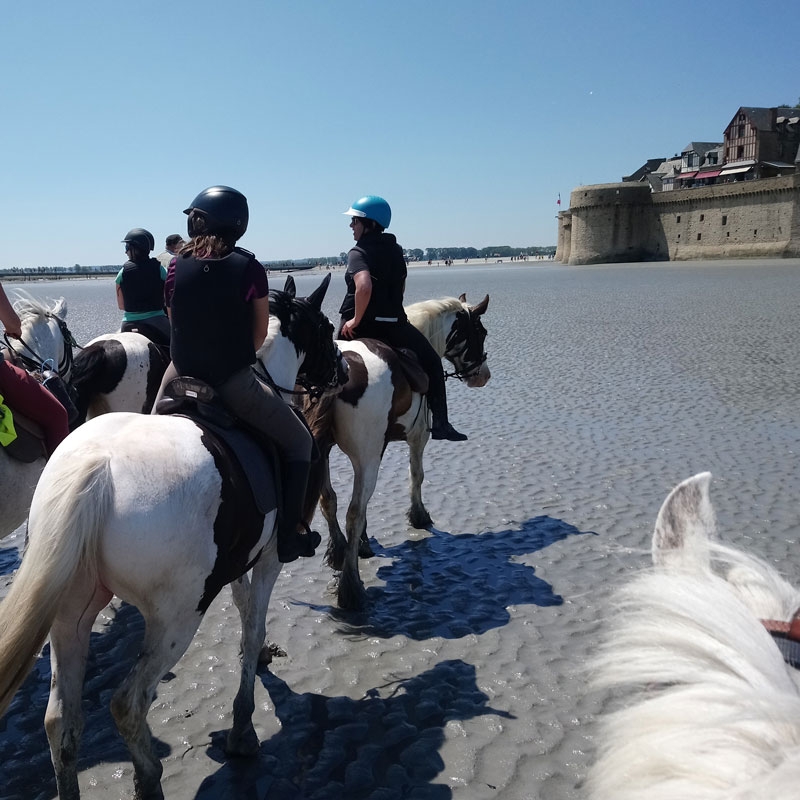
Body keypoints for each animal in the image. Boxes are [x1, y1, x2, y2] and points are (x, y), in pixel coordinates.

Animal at [304, 296, 490, 612]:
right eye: (481, 332)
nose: (483, 376)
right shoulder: (418, 437)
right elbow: (416, 476)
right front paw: (419, 516)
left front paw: (364, 544)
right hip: (366, 457)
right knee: (353, 512)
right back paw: (352, 588)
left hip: (325, 452)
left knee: (329, 500)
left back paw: (340, 553)